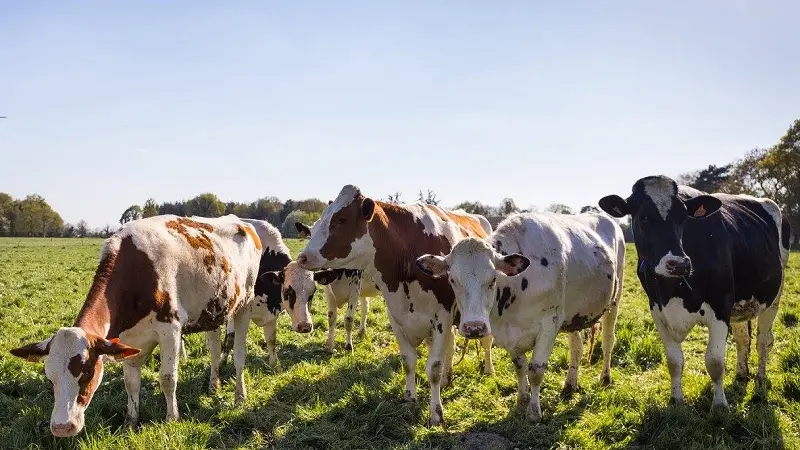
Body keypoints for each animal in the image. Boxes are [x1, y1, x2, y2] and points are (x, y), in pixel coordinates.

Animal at [7, 214, 262, 436]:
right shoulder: (127, 338)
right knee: (215, 349)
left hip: (244, 305)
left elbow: (168, 378)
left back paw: (240, 396)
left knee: (239, 354)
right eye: (49, 377)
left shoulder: (170, 329)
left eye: (87, 372)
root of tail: (242, 222)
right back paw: (213, 385)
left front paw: (172, 419)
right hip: (213, 310)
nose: (62, 427)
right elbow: (131, 383)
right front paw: (131, 421)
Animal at [296, 185, 494, 426]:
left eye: (341, 219)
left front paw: (436, 413)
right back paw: (449, 378)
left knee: (485, 342)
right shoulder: (396, 315)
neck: (408, 261)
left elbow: (434, 368)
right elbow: (408, 361)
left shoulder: (443, 317)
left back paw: (488, 369)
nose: (302, 257)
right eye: (319, 222)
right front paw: (410, 398)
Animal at [416, 211, 628, 422]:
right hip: (573, 315)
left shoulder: (549, 324)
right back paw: (569, 385)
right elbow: (520, 367)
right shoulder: (510, 333)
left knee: (608, 341)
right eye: (452, 280)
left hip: (614, 300)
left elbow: (536, 370)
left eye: (493, 279)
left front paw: (534, 412)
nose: (474, 328)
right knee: (576, 346)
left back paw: (605, 378)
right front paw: (522, 400)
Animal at [596, 178, 792, 410]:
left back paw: (760, 378)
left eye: (683, 217)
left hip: (774, 297)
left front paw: (719, 405)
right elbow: (674, 361)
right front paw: (676, 400)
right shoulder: (658, 311)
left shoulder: (720, 307)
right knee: (743, 338)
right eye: (644, 217)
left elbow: (715, 361)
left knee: (763, 341)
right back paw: (742, 373)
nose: (679, 264)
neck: (673, 289)